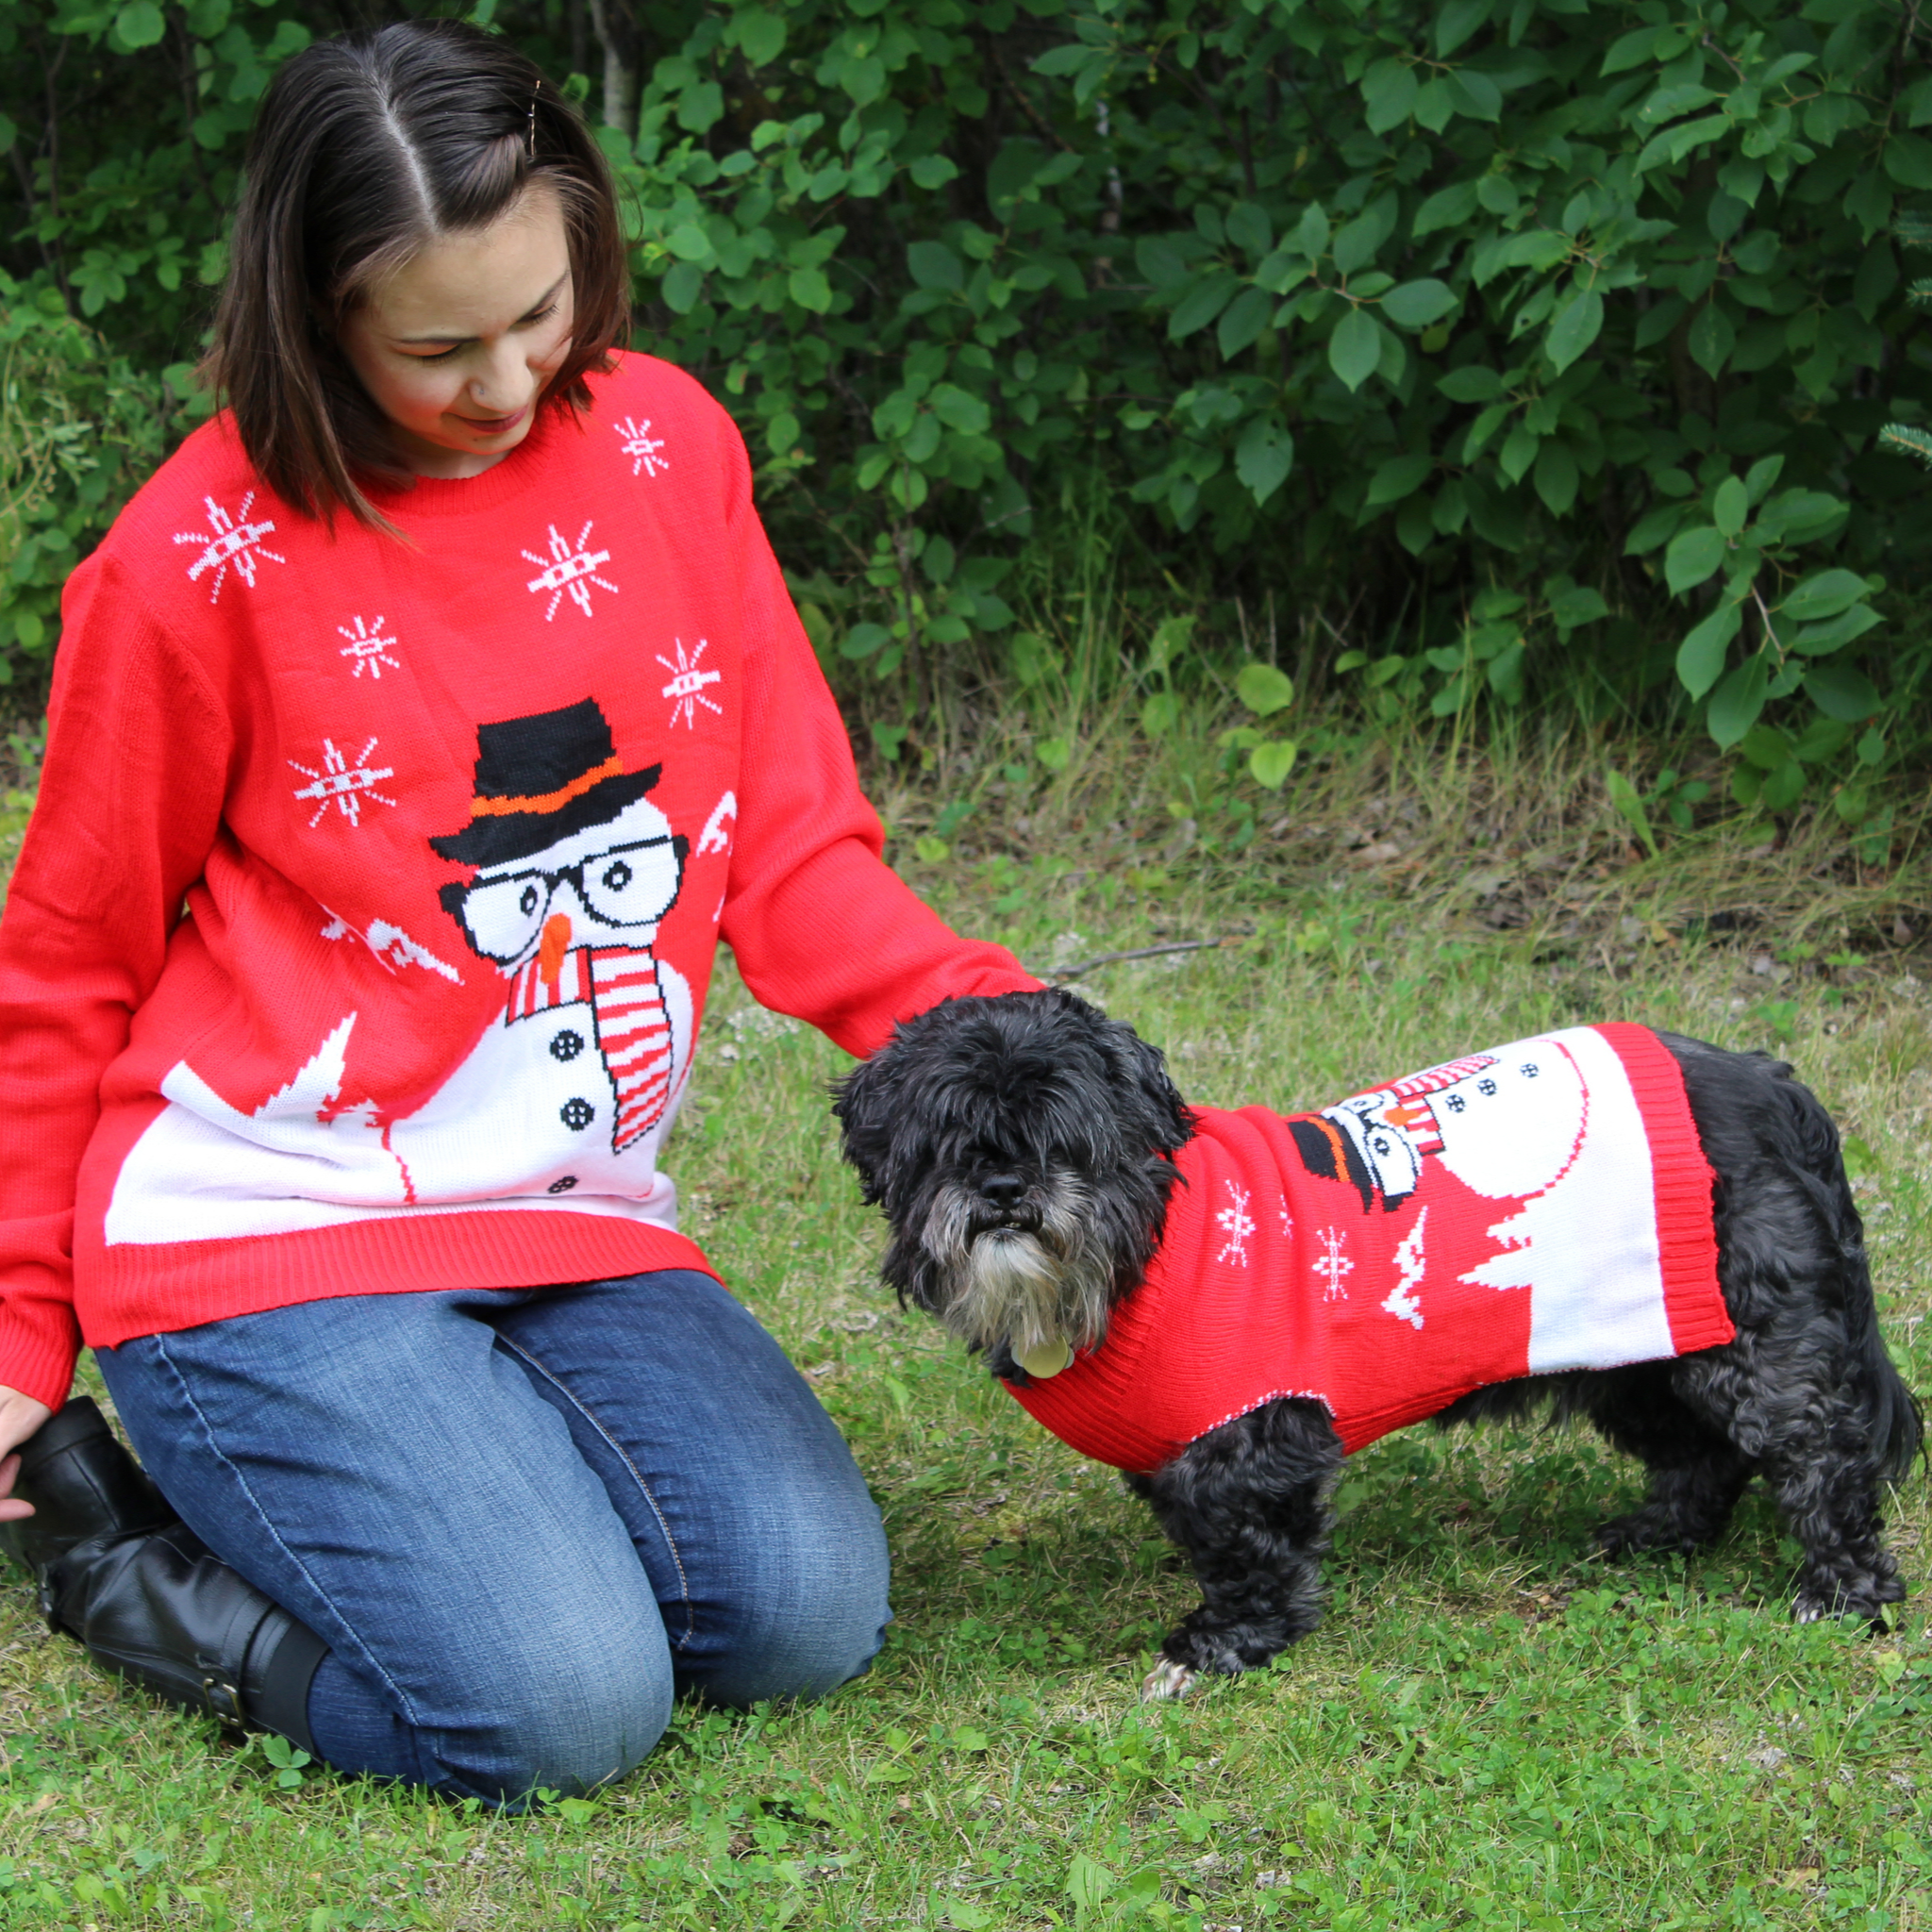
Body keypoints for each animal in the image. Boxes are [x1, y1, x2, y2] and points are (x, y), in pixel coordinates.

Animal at [838, 989, 1924, 1700]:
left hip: (1753, 1346)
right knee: (1702, 1456)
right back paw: (1654, 1539)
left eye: (1066, 1135)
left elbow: (1246, 1553)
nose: (1002, 1187)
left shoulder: (1252, 1443)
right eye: (942, 1139)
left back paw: (1840, 1594)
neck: (1145, 1253)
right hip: (1634, 1348)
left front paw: (1221, 1645)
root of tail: (1772, 1090)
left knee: (1817, 1455)